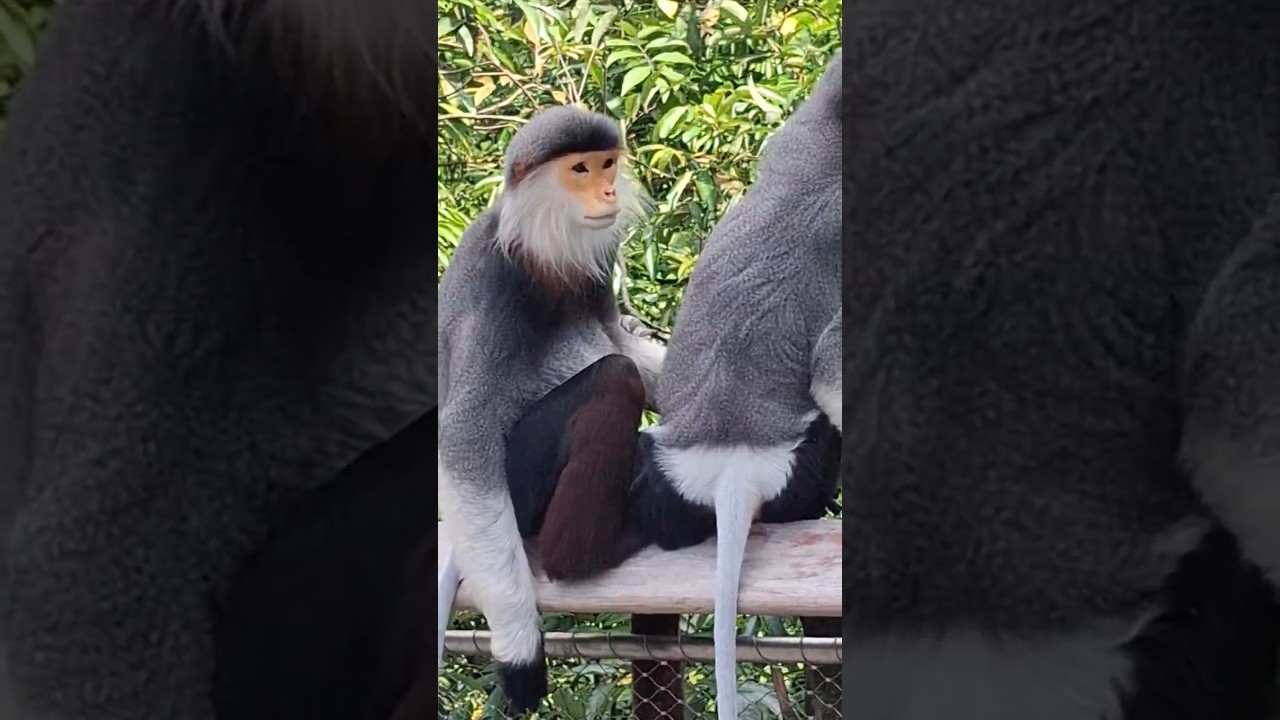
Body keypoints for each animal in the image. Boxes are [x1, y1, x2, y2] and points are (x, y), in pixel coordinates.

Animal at [435, 105, 663, 714]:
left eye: (607, 164)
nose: (607, 189)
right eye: (579, 169)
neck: (541, 251)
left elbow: (620, 339)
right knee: (614, 377)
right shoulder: (494, 282)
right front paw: (518, 648)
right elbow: (462, 436)